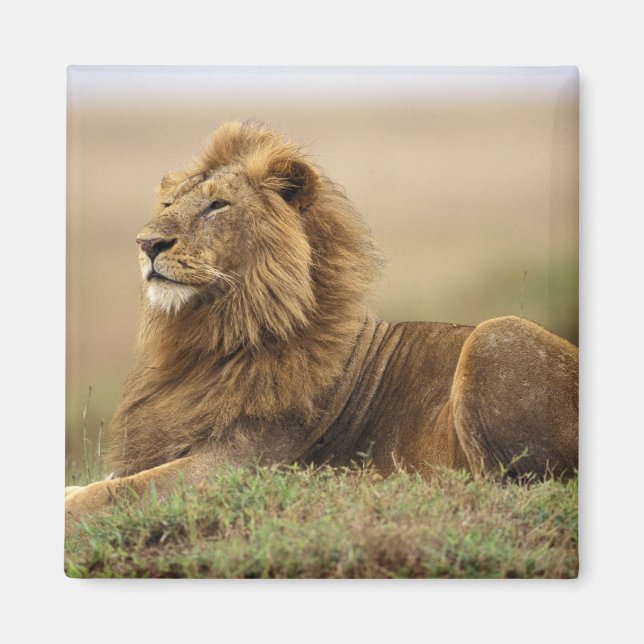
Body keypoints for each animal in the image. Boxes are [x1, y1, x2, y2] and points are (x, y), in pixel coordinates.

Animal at [65, 121, 578, 531]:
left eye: (217, 206)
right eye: (168, 203)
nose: (147, 243)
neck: (212, 337)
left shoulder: (238, 464)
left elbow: (116, 492)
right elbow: (100, 483)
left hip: (497, 335)